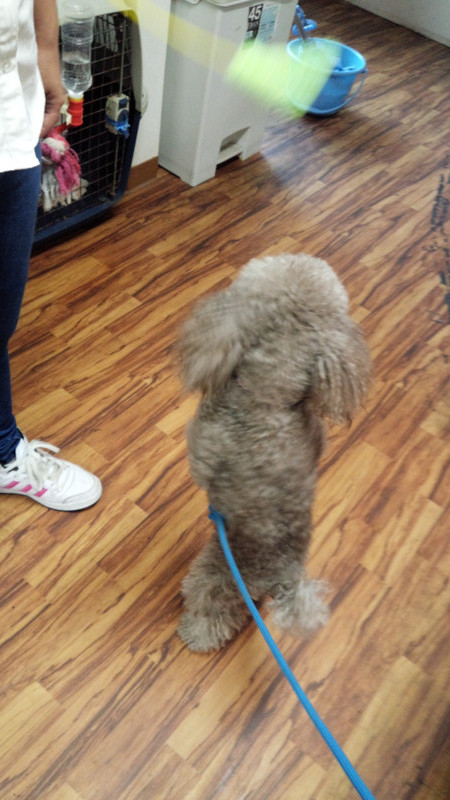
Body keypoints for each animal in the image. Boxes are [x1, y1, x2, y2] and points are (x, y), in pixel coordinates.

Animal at [177, 254, 370, 652]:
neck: (267, 402)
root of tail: (284, 580)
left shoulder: (203, 443)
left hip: (213, 574)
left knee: (213, 611)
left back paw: (195, 633)